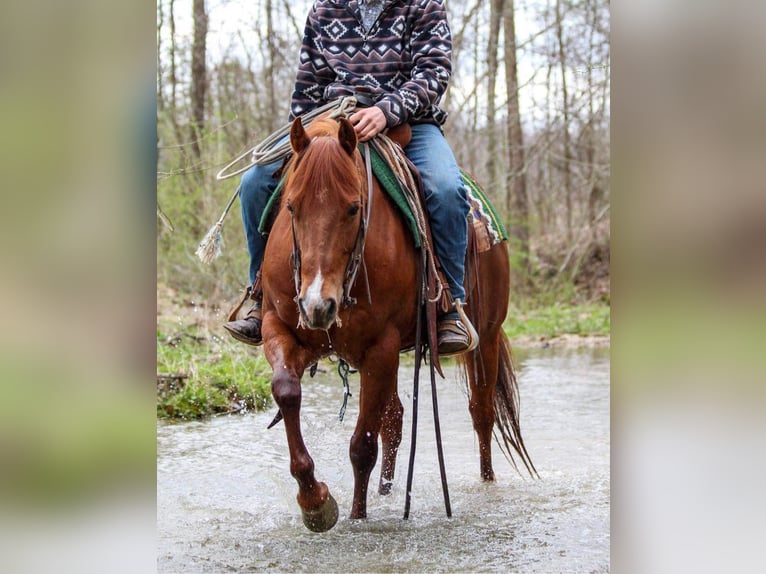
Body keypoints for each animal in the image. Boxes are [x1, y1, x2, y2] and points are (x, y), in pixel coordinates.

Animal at [260, 115, 536, 532]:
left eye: (353, 208)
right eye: (291, 207)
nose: (318, 305)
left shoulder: (382, 346)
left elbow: (362, 445)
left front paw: (356, 517)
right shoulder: (279, 327)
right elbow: (287, 392)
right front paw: (314, 500)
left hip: (484, 338)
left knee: (482, 413)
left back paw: (486, 486)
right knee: (395, 419)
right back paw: (387, 491)